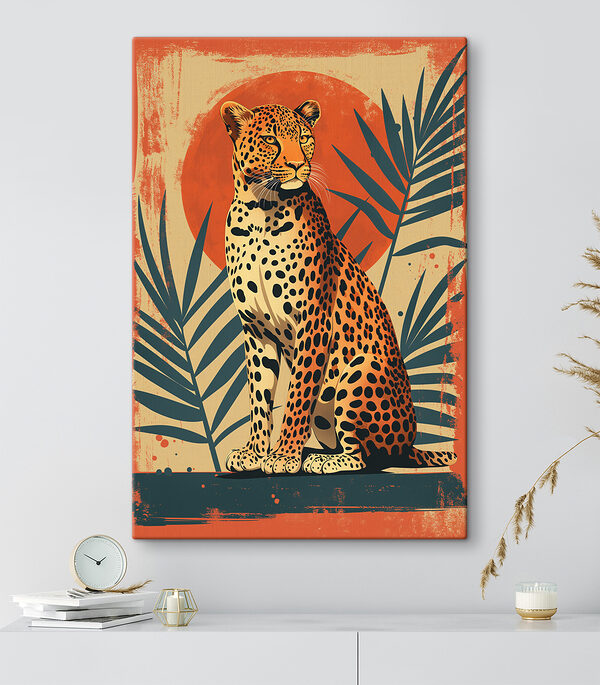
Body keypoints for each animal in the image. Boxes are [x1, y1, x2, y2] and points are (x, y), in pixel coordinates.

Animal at [220, 98, 457, 475]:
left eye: (303, 138)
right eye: (271, 140)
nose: (297, 165)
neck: (260, 211)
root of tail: (409, 444)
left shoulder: (312, 323)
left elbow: (297, 395)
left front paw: (284, 456)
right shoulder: (256, 330)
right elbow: (259, 397)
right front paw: (254, 453)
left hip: (360, 373)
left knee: (366, 457)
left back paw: (316, 459)